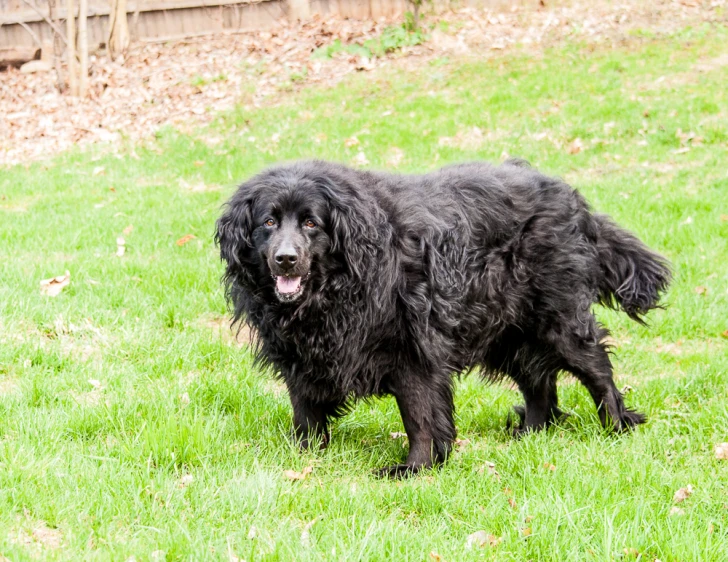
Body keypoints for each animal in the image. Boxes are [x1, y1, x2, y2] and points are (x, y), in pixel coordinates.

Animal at [216, 160, 672, 474]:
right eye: (268, 221)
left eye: (311, 223)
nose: (285, 259)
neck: (336, 286)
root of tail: (571, 198)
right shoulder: (299, 356)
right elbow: (305, 412)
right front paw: (306, 459)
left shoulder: (414, 348)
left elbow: (419, 415)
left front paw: (415, 468)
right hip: (505, 327)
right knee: (538, 380)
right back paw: (530, 432)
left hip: (554, 317)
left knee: (595, 365)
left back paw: (616, 424)